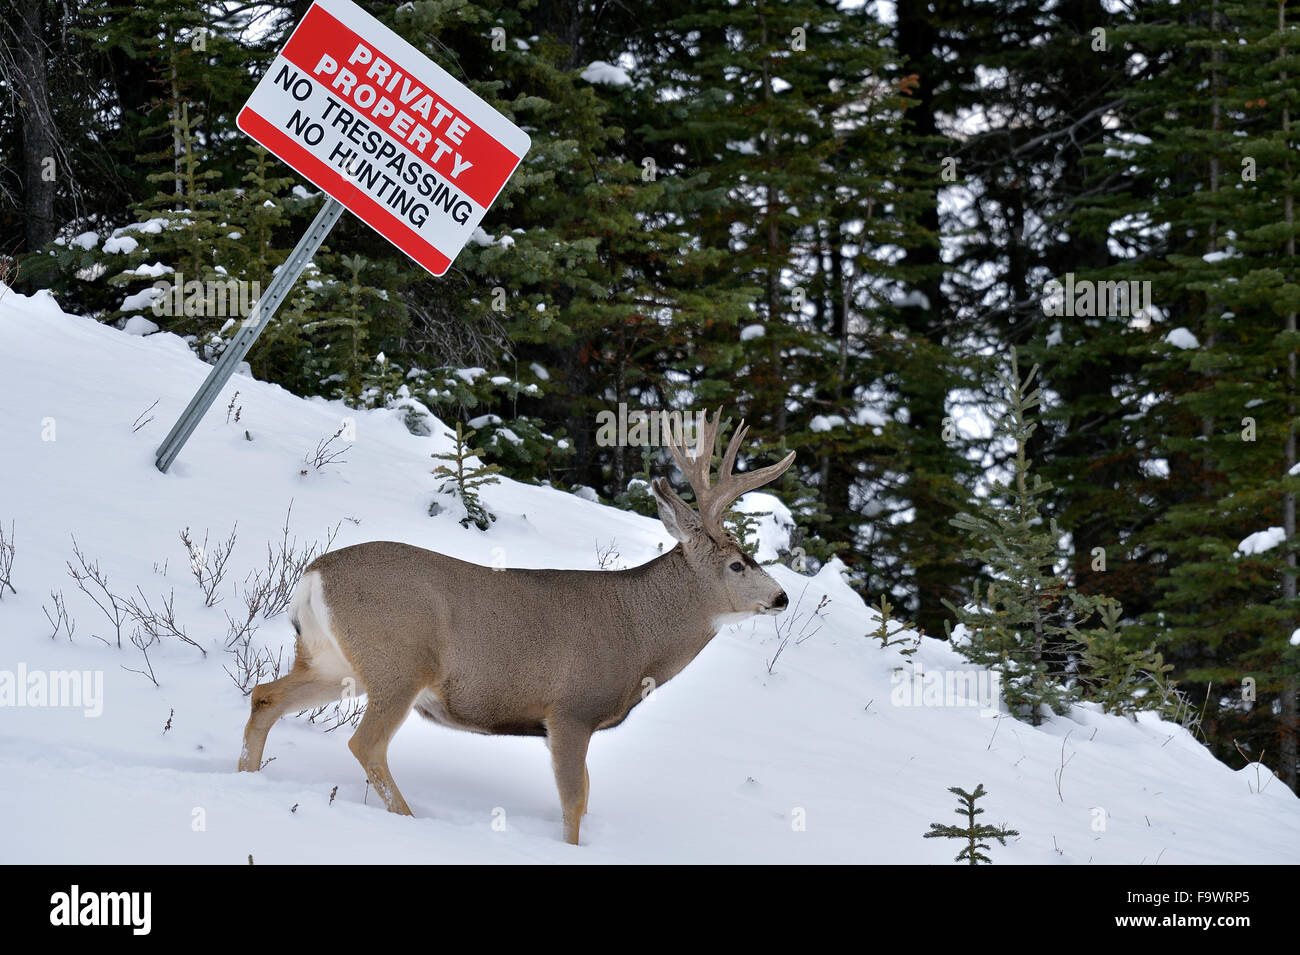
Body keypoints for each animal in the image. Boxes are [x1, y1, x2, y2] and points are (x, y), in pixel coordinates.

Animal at [237, 409, 795, 844]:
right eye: (738, 564)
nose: (781, 597)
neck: (639, 634)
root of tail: (314, 574)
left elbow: (584, 798)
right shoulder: (570, 709)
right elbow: (575, 801)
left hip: (331, 660)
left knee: (265, 696)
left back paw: (244, 778)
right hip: (400, 661)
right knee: (365, 743)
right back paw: (409, 820)